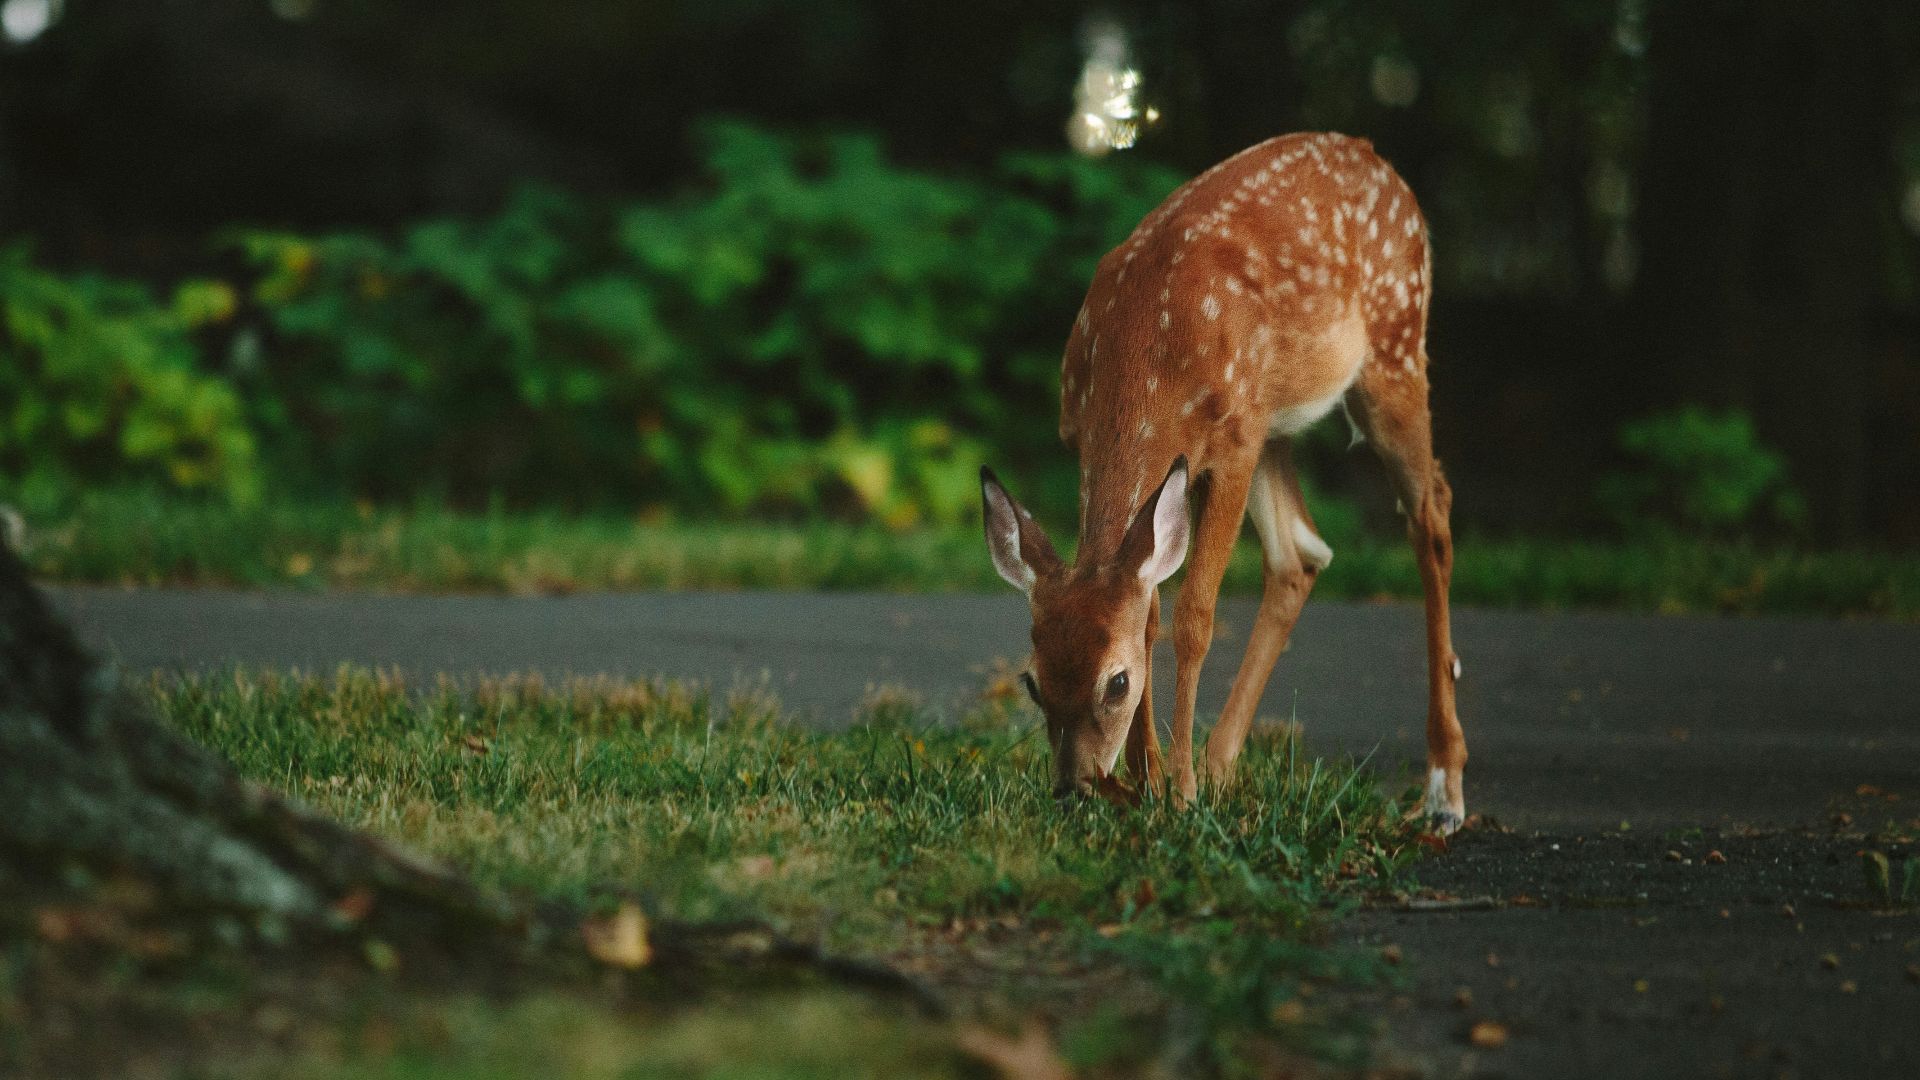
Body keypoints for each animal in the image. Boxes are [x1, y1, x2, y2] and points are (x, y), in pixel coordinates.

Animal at [980, 132, 1467, 832]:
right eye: (1033, 682)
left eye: (1116, 683)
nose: (1075, 788)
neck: (1146, 352)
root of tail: (1376, 158)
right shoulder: (1094, 441)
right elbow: (1149, 609)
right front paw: (1149, 782)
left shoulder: (1232, 445)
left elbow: (1193, 617)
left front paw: (1176, 792)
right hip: (1276, 422)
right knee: (1300, 553)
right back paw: (1220, 767)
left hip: (1393, 349)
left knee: (1431, 514)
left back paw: (1444, 789)